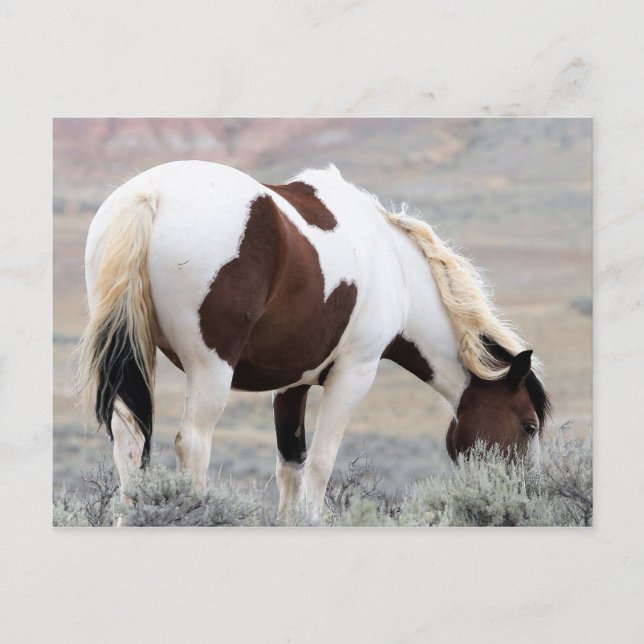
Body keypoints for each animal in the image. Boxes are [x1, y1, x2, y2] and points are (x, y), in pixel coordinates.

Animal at [76, 160, 550, 522]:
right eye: (528, 425)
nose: (523, 495)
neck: (395, 267)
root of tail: (150, 195)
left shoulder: (292, 382)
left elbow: (291, 463)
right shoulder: (354, 374)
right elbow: (321, 463)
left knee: (129, 439)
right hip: (209, 369)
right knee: (192, 442)